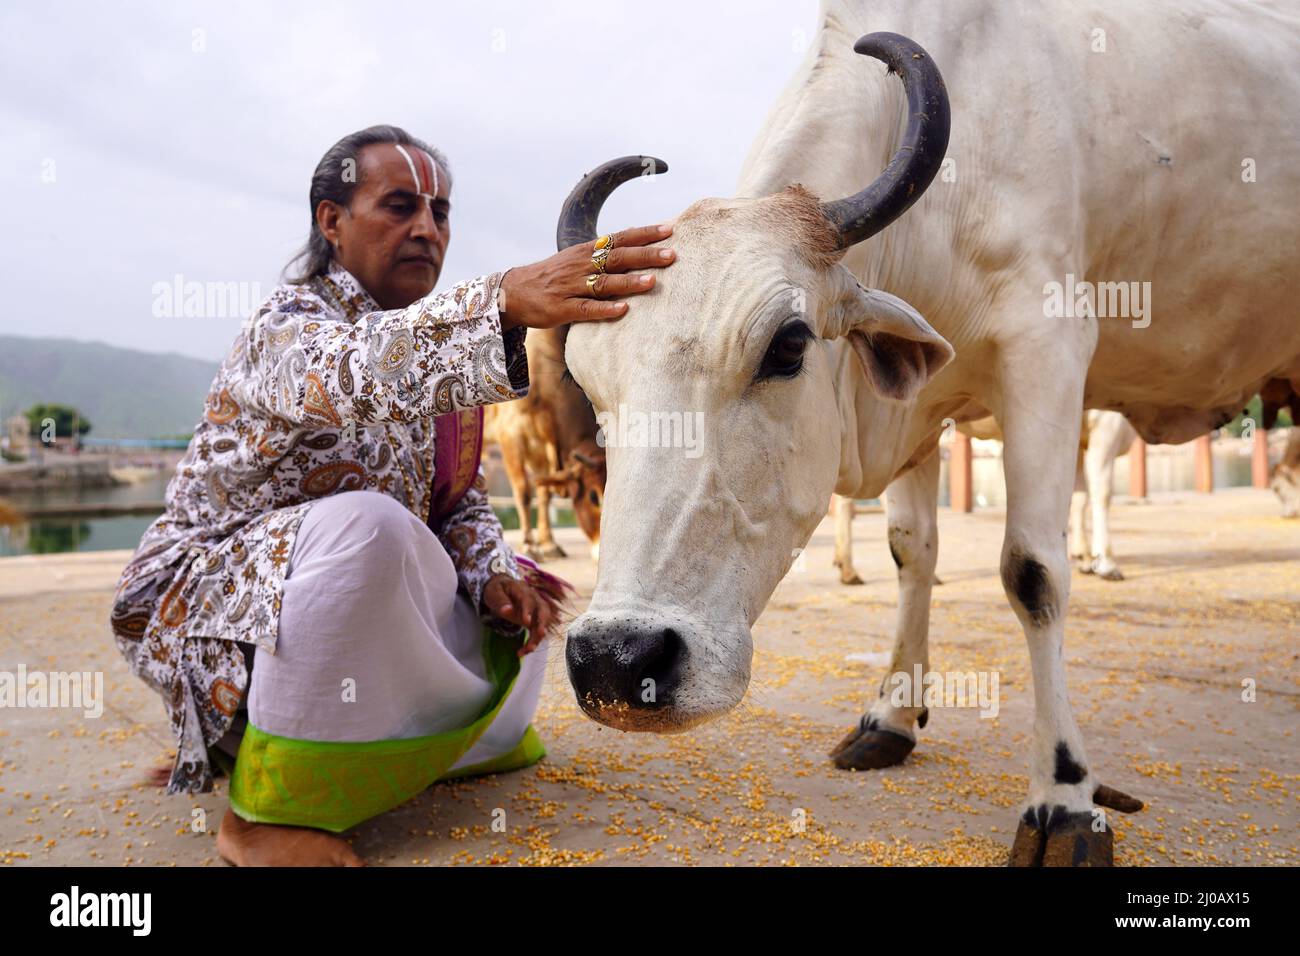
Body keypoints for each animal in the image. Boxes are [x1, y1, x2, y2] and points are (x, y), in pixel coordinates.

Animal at [483, 326, 606, 561]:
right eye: (593, 497)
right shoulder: (511, 435)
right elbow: (523, 491)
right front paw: (529, 544)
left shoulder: (542, 447)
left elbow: (544, 492)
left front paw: (549, 543)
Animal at [556, 1, 1300, 866]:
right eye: (586, 378)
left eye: (788, 345)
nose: (616, 663)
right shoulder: (919, 407)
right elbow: (912, 552)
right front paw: (892, 716)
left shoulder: (1048, 353)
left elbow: (1034, 573)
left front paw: (1066, 796)